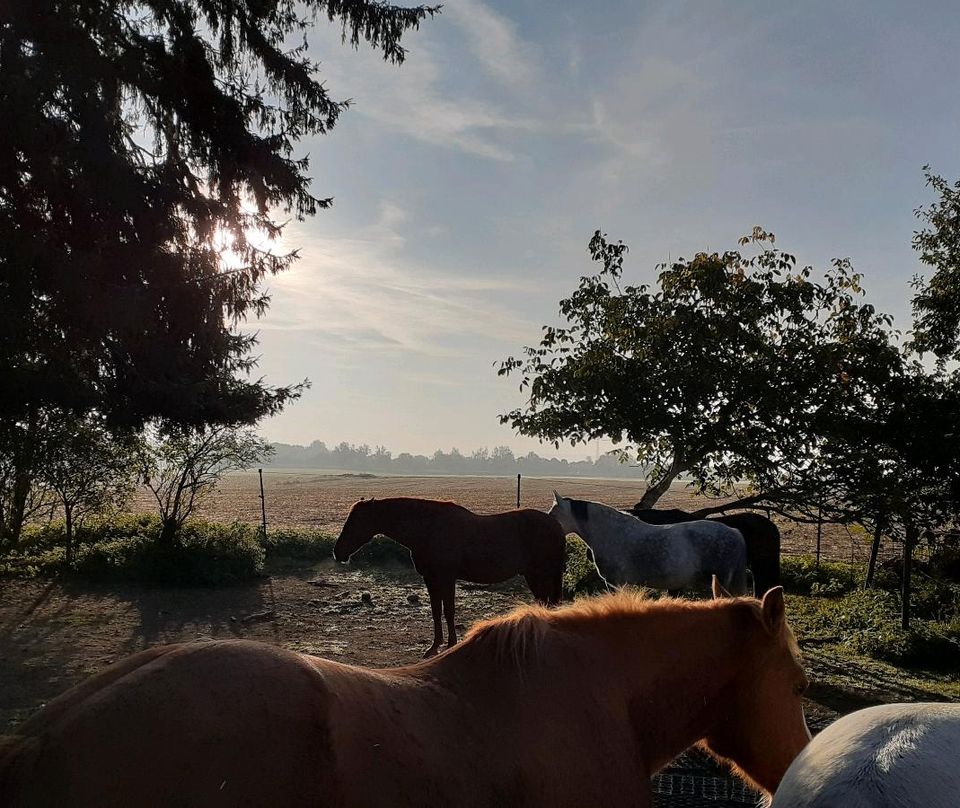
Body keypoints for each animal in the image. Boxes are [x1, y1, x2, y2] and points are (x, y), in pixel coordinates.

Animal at [334, 498, 568, 656]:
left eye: (355, 521)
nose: (337, 552)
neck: (428, 528)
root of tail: (555, 525)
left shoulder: (446, 578)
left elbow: (448, 611)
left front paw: (450, 644)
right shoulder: (431, 579)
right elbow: (437, 611)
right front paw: (434, 646)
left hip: (539, 575)